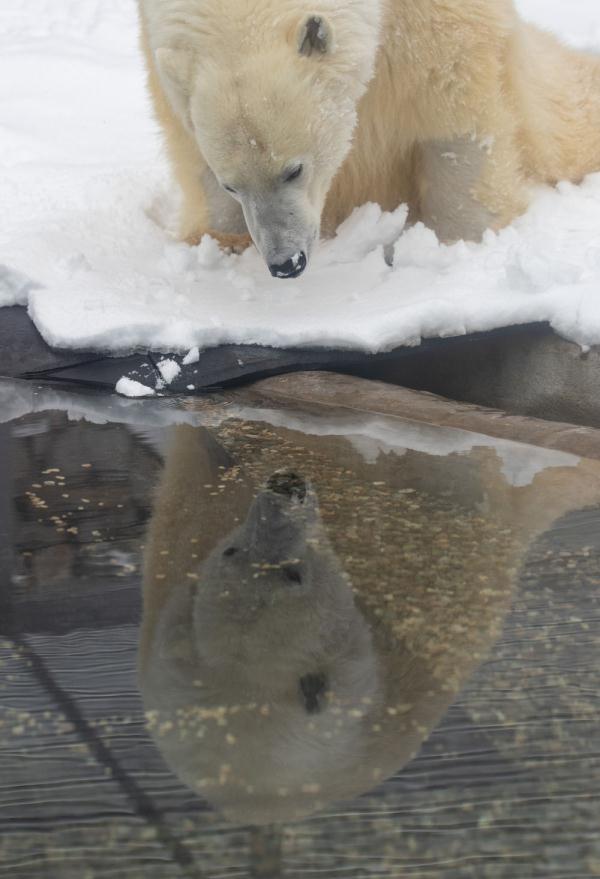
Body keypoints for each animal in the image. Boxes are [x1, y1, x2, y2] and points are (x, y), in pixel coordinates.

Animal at [138, 0, 600, 279]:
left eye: (294, 170)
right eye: (231, 185)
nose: (286, 262)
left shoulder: (436, 18)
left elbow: (453, 104)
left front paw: (453, 243)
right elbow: (188, 141)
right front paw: (220, 244)